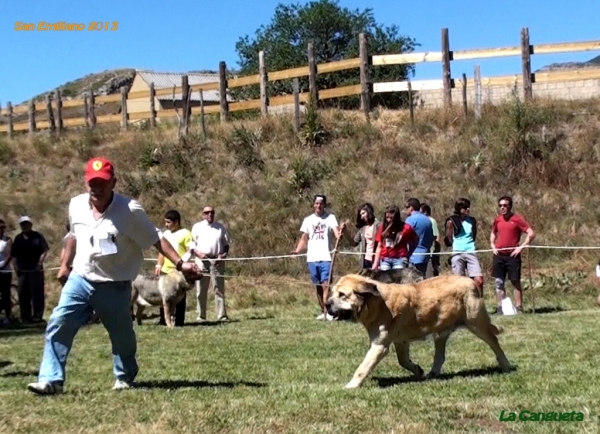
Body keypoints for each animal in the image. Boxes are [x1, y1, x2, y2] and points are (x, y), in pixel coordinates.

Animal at [326, 272, 512, 388]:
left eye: (342, 295)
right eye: (333, 292)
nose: (326, 304)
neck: (375, 303)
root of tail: (471, 281)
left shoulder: (379, 346)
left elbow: (363, 367)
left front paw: (351, 386)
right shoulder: (401, 341)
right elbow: (403, 361)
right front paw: (418, 370)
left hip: (477, 324)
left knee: (495, 342)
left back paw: (506, 366)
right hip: (440, 333)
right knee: (440, 356)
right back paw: (432, 374)